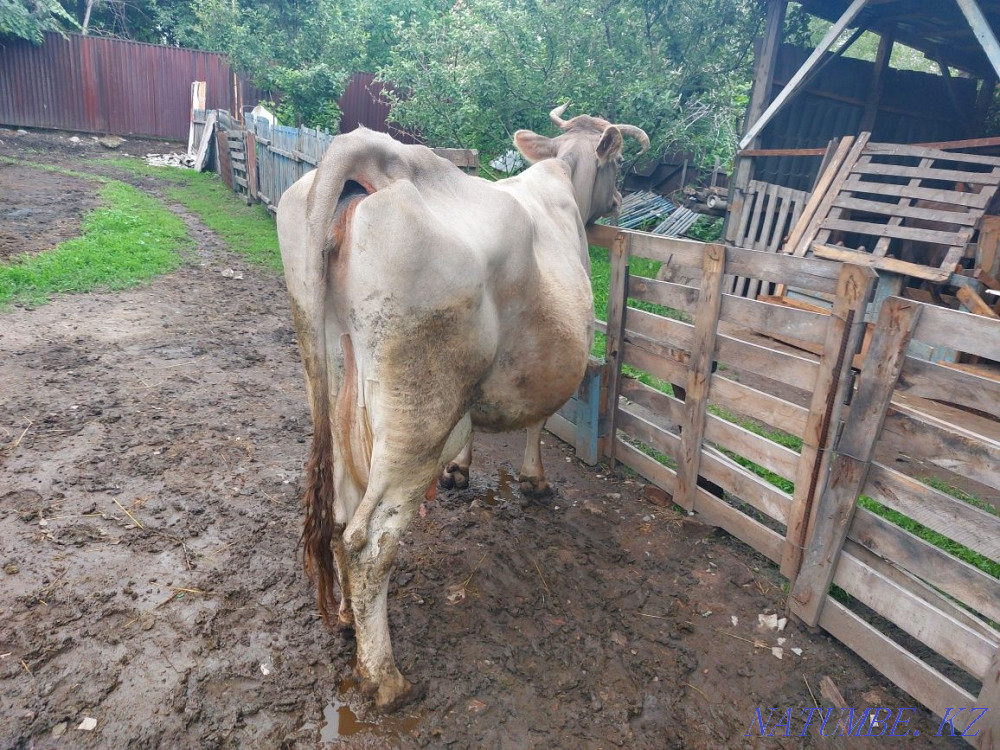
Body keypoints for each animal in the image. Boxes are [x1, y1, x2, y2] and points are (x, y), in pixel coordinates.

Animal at [276, 105, 648, 710]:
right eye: (618, 165)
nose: (620, 200)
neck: (560, 179)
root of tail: (372, 152)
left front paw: (461, 471)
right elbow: (538, 419)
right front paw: (535, 480)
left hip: (334, 381)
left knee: (338, 516)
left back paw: (351, 626)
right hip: (419, 416)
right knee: (368, 543)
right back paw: (385, 678)